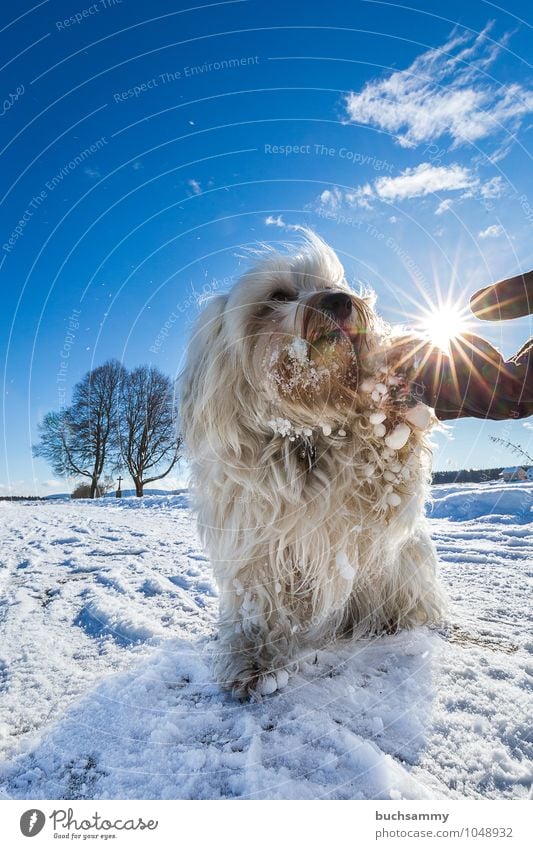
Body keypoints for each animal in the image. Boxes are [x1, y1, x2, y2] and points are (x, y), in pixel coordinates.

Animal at [180, 232, 444, 696]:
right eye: (279, 296)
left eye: (335, 283)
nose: (339, 300)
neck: (305, 432)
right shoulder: (255, 542)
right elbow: (260, 603)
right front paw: (253, 661)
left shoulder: (373, 511)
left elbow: (387, 475)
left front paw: (390, 406)